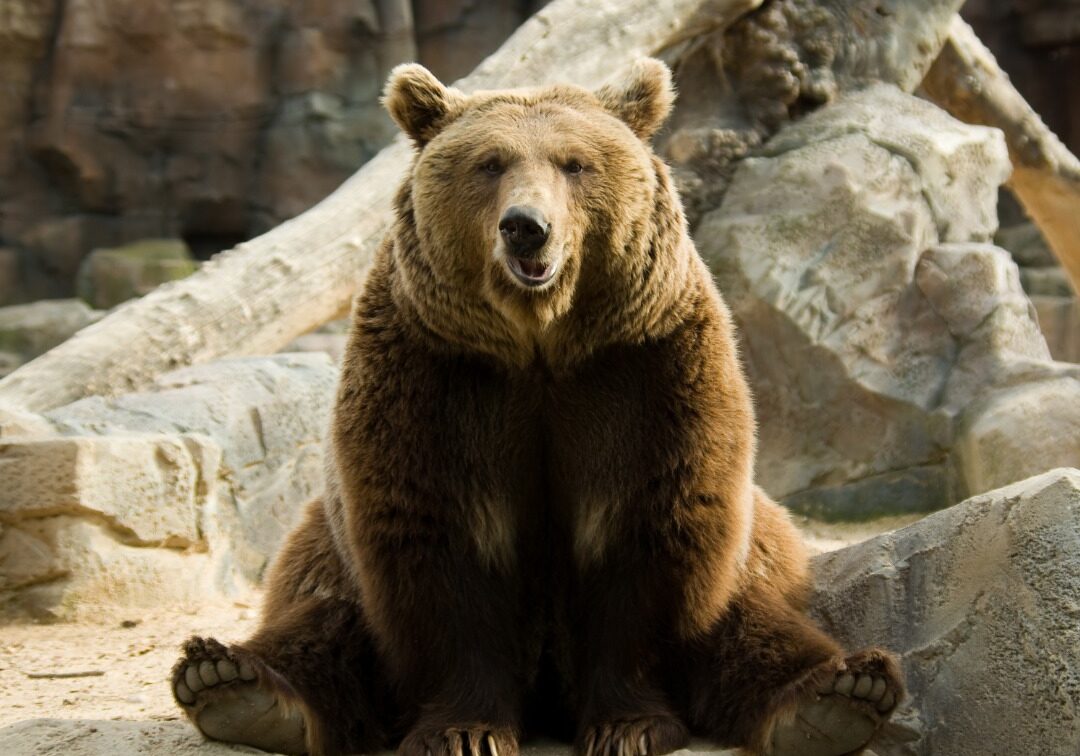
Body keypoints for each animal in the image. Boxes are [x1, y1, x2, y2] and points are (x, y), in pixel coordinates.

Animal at [170, 59, 904, 756]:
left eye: (575, 163)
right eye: (490, 163)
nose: (527, 228)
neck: (541, 342)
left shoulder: (645, 371)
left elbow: (647, 532)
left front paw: (629, 726)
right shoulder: (436, 376)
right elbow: (442, 545)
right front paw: (464, 731)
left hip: (762, 550)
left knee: (758, 625)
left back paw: (838, 694)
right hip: (326, 550)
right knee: (322, 623)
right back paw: (233, 683)